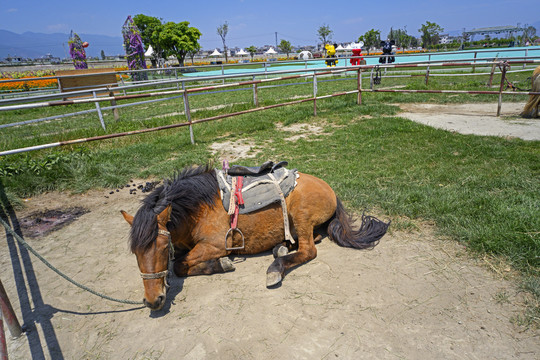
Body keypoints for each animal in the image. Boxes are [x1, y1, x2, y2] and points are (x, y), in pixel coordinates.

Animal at [120, 165, 390, 310]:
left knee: (308, 250)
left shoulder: (217, 245)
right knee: (312, 239)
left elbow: (178, 265)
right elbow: (178, 263)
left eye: (163, 247)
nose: (153, 301)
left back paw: (276, 267)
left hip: (300, 215)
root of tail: (329, 189)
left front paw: (221, 265)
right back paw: (282, 246)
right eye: (136, 252)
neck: (198, 207)